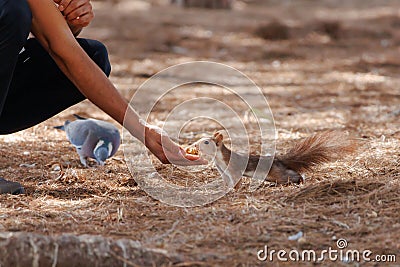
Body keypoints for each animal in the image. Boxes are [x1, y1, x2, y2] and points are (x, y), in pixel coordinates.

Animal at [186, 131, 354, 186]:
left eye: (206, 142)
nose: (193, 145)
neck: (219, 160)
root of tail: (280, 160)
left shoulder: (233, 168)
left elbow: (237, 181)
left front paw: (235, 190)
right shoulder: (224, 172)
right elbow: (227, 182)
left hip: (277, 173)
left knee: (292, 175)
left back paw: (299, 180)